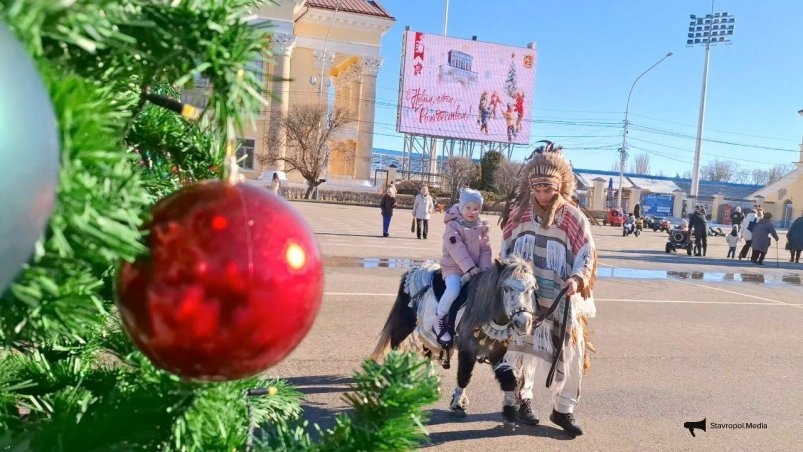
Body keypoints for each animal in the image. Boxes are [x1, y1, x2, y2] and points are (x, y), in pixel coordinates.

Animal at [372, 256, 536, 418]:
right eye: (506, 288)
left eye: (531, 289)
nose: (523, 323)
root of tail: (413, 270)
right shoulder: (467, 349)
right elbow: (464, 375)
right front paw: (457, 403)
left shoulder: (497, 351)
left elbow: (508, 379)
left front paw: (510, 409)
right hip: (405, 322)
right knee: (395, 341)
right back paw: (394, 372)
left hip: (427, 333)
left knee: (428, 353)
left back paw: (430, 383)